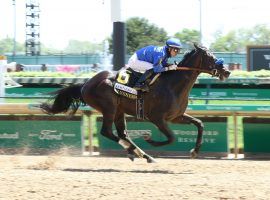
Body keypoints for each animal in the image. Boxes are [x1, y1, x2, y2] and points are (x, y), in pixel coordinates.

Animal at [40, 44, 230, 162]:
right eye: (210, 56)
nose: (227, 71)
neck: (173, 85)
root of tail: (86, 84)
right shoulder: (157, 118)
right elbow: (171, 137)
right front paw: (150, 140)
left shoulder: (176, 116)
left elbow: (200, 124)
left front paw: (195, 151)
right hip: (109, 108)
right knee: (107, 132)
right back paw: (136, 152)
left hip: (119, 111)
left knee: (122, 134)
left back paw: (140, 154)